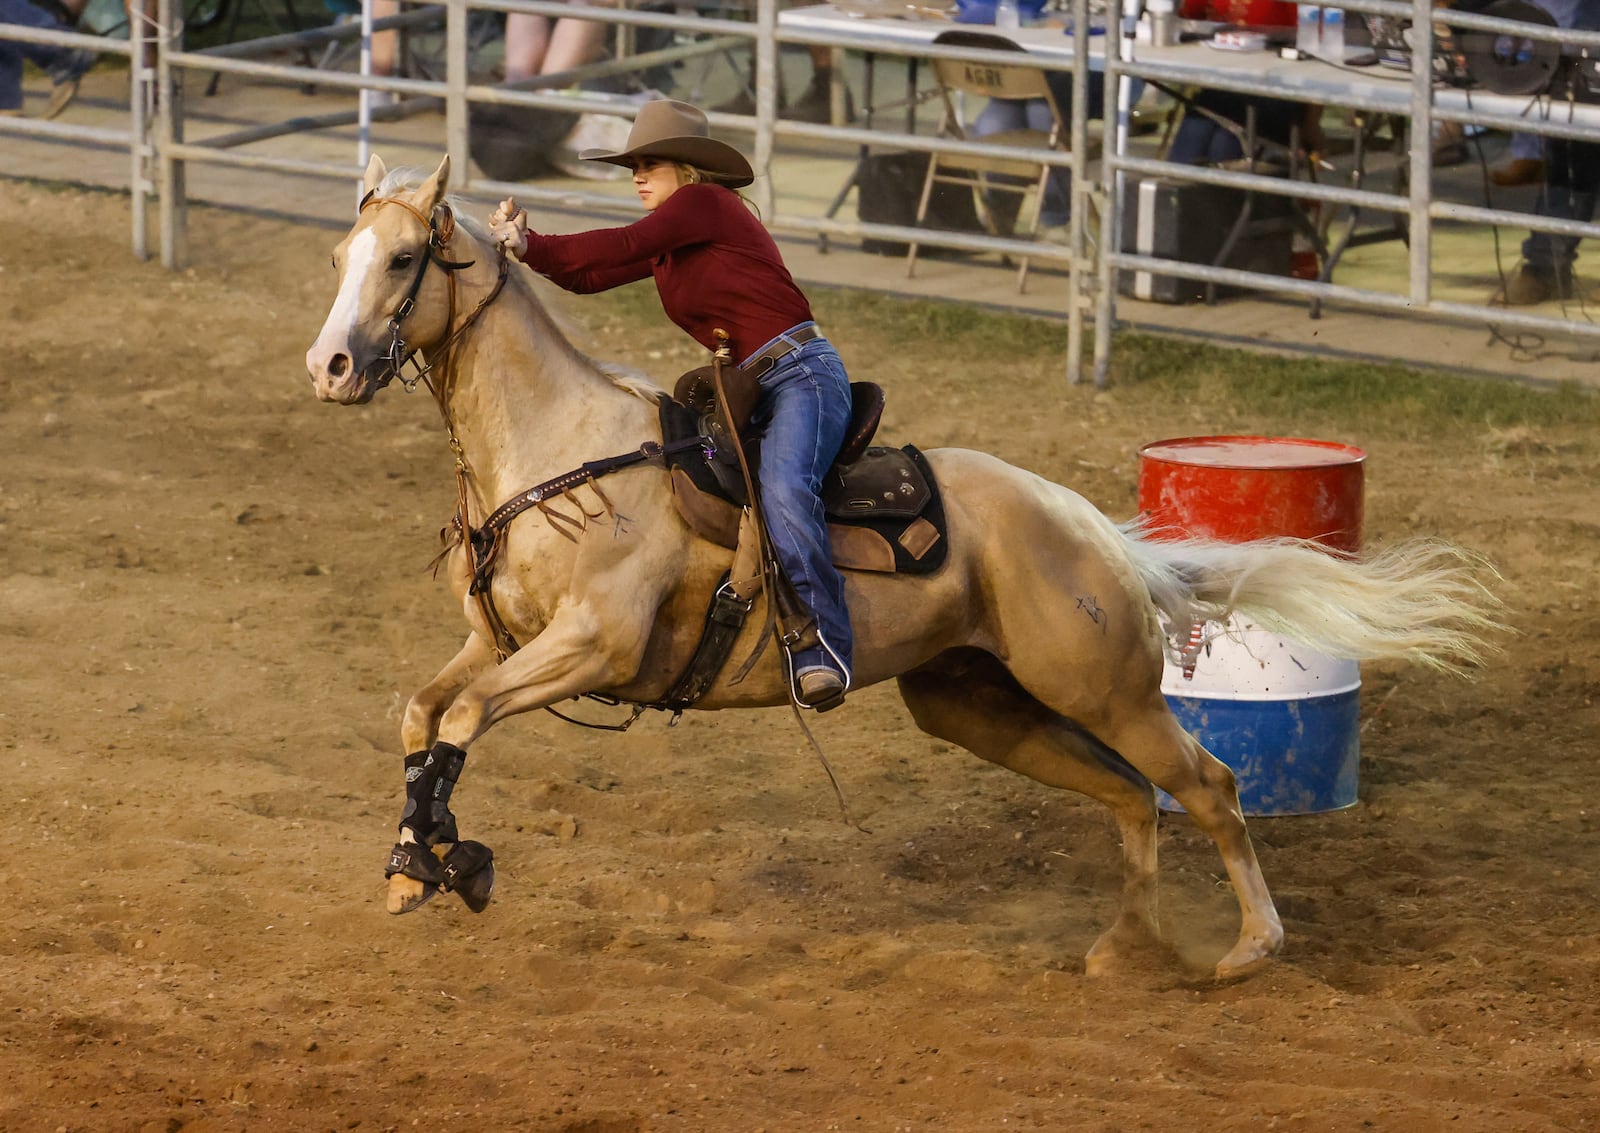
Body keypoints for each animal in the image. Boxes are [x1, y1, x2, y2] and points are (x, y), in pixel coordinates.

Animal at [305, 155, 1504, 979]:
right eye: (337, 260)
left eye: (404, 260)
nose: (330, 366)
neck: (561, 448)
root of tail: (1087, 524)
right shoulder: (493, 639)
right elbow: (422, 715)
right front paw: (412, 863)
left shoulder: (591, 645)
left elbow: (462, 723)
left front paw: (455, 862)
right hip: (979, 702)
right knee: (1132, 796)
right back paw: (1126, 947)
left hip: (1100, 686)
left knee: (1205, 783)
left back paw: (1253, 946)